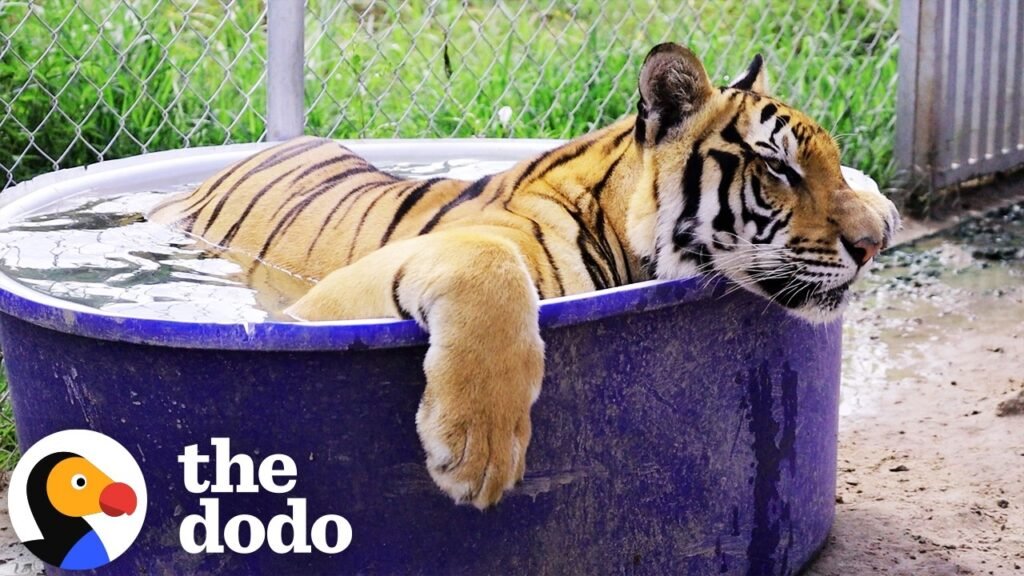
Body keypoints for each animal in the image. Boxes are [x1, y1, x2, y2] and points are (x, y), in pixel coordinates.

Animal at [149, 43, 900, 509]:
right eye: (778, 167)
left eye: (832, 163)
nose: (871, 246)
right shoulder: (324, 303)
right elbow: (489, 264)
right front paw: (477, 453)